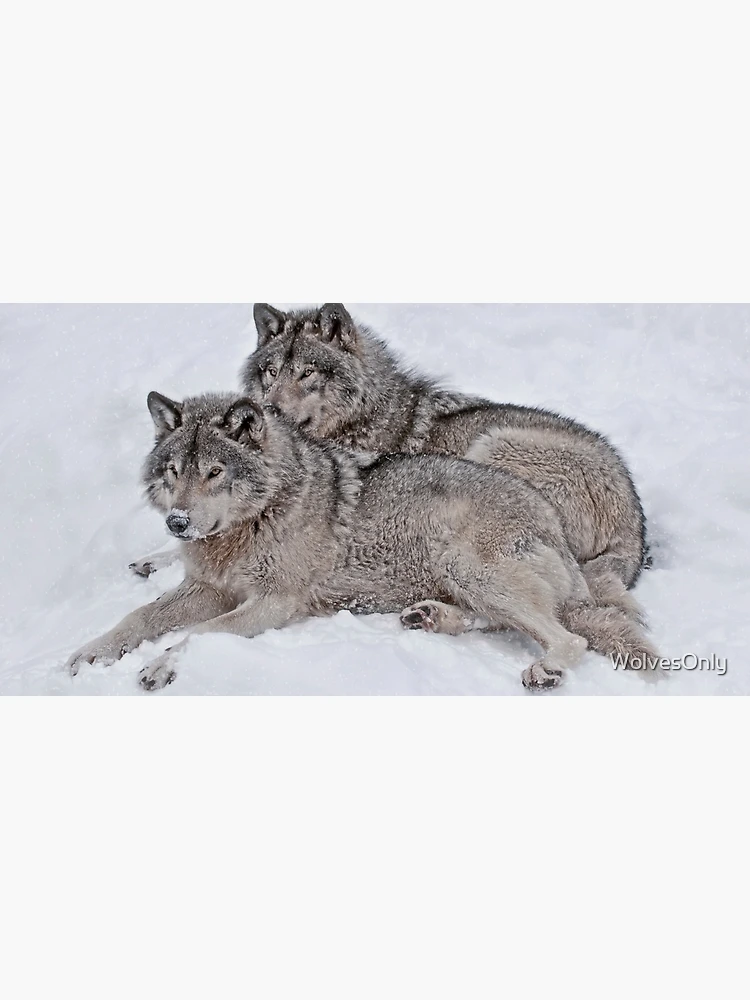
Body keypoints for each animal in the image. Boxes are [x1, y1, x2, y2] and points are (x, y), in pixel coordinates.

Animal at [69, 392, 660, 691]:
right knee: (503, 621)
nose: (177, 523)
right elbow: (138, 618)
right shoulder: (208, 588)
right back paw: (429, 617)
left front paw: (160, 666)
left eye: (215, 472)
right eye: (174, 471)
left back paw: (545, 669)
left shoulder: (275, 603)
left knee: (568, 637)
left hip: (471, 564)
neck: (261, 516)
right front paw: (90, 652)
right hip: (465, 577)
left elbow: (200, 635)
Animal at [240, 303, 649, 627]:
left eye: (307, 372)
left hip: (492, 448)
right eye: (271, 372)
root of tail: (633, 524)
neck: (365, 420)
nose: (270, 409)